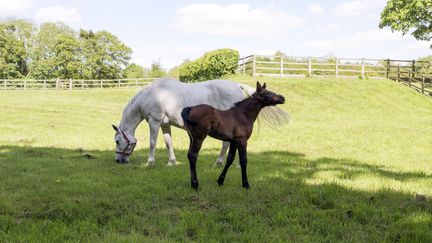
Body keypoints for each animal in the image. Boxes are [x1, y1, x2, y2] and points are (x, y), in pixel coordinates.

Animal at [111, 78, 288, 165]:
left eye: (118, 141)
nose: (119, 160)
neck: (153, 95)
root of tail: (238, 85)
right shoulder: (165, 124)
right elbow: (169, 143)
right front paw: (172, 162)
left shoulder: (154, 122)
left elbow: (152, 143)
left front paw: (149, 162)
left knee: (226, 144)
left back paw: (221, 162)